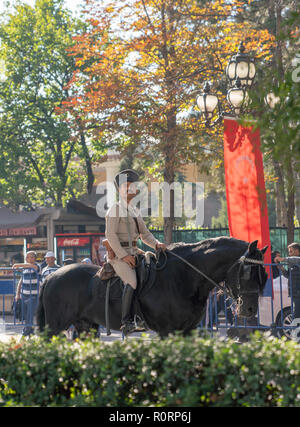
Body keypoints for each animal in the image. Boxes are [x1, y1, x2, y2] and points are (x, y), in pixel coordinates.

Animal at [36, 237, 268, 338]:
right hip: (55, 328)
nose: (250, 310)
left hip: (86, 326)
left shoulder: (187, 331)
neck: (183, 277)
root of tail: (50, 276)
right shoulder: (168, 331)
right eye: (248, 272)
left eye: (264, 275)